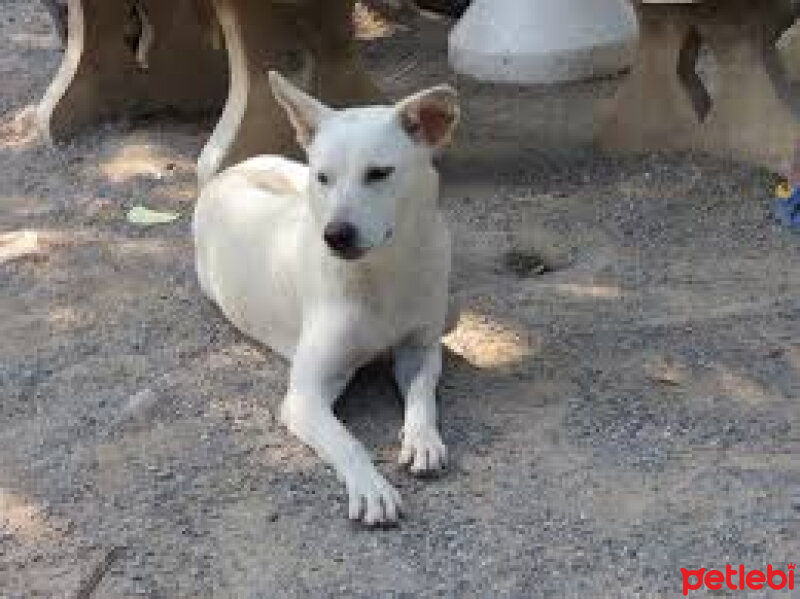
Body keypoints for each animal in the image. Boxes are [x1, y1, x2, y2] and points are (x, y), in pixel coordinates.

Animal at [191, 71, 460, 524]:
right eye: (325, 177)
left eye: (379, 173)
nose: (335, 234)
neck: (382, 270)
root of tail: (230, 171)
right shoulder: (305, 395)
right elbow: (346, 441)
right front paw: (371, 486)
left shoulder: (421, 349)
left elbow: (422, 396)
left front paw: (422, 438)